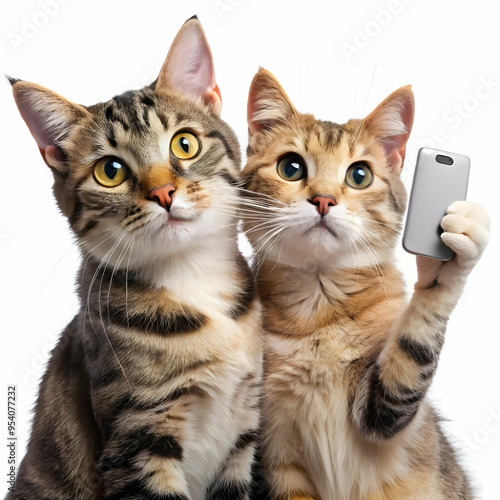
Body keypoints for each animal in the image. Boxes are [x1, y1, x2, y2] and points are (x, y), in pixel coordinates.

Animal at [7, 16, 262, 500]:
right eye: (111, 171)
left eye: (185, 145)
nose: (163, 193)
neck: (190, 278)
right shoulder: (138, 436)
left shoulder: (243, 434)